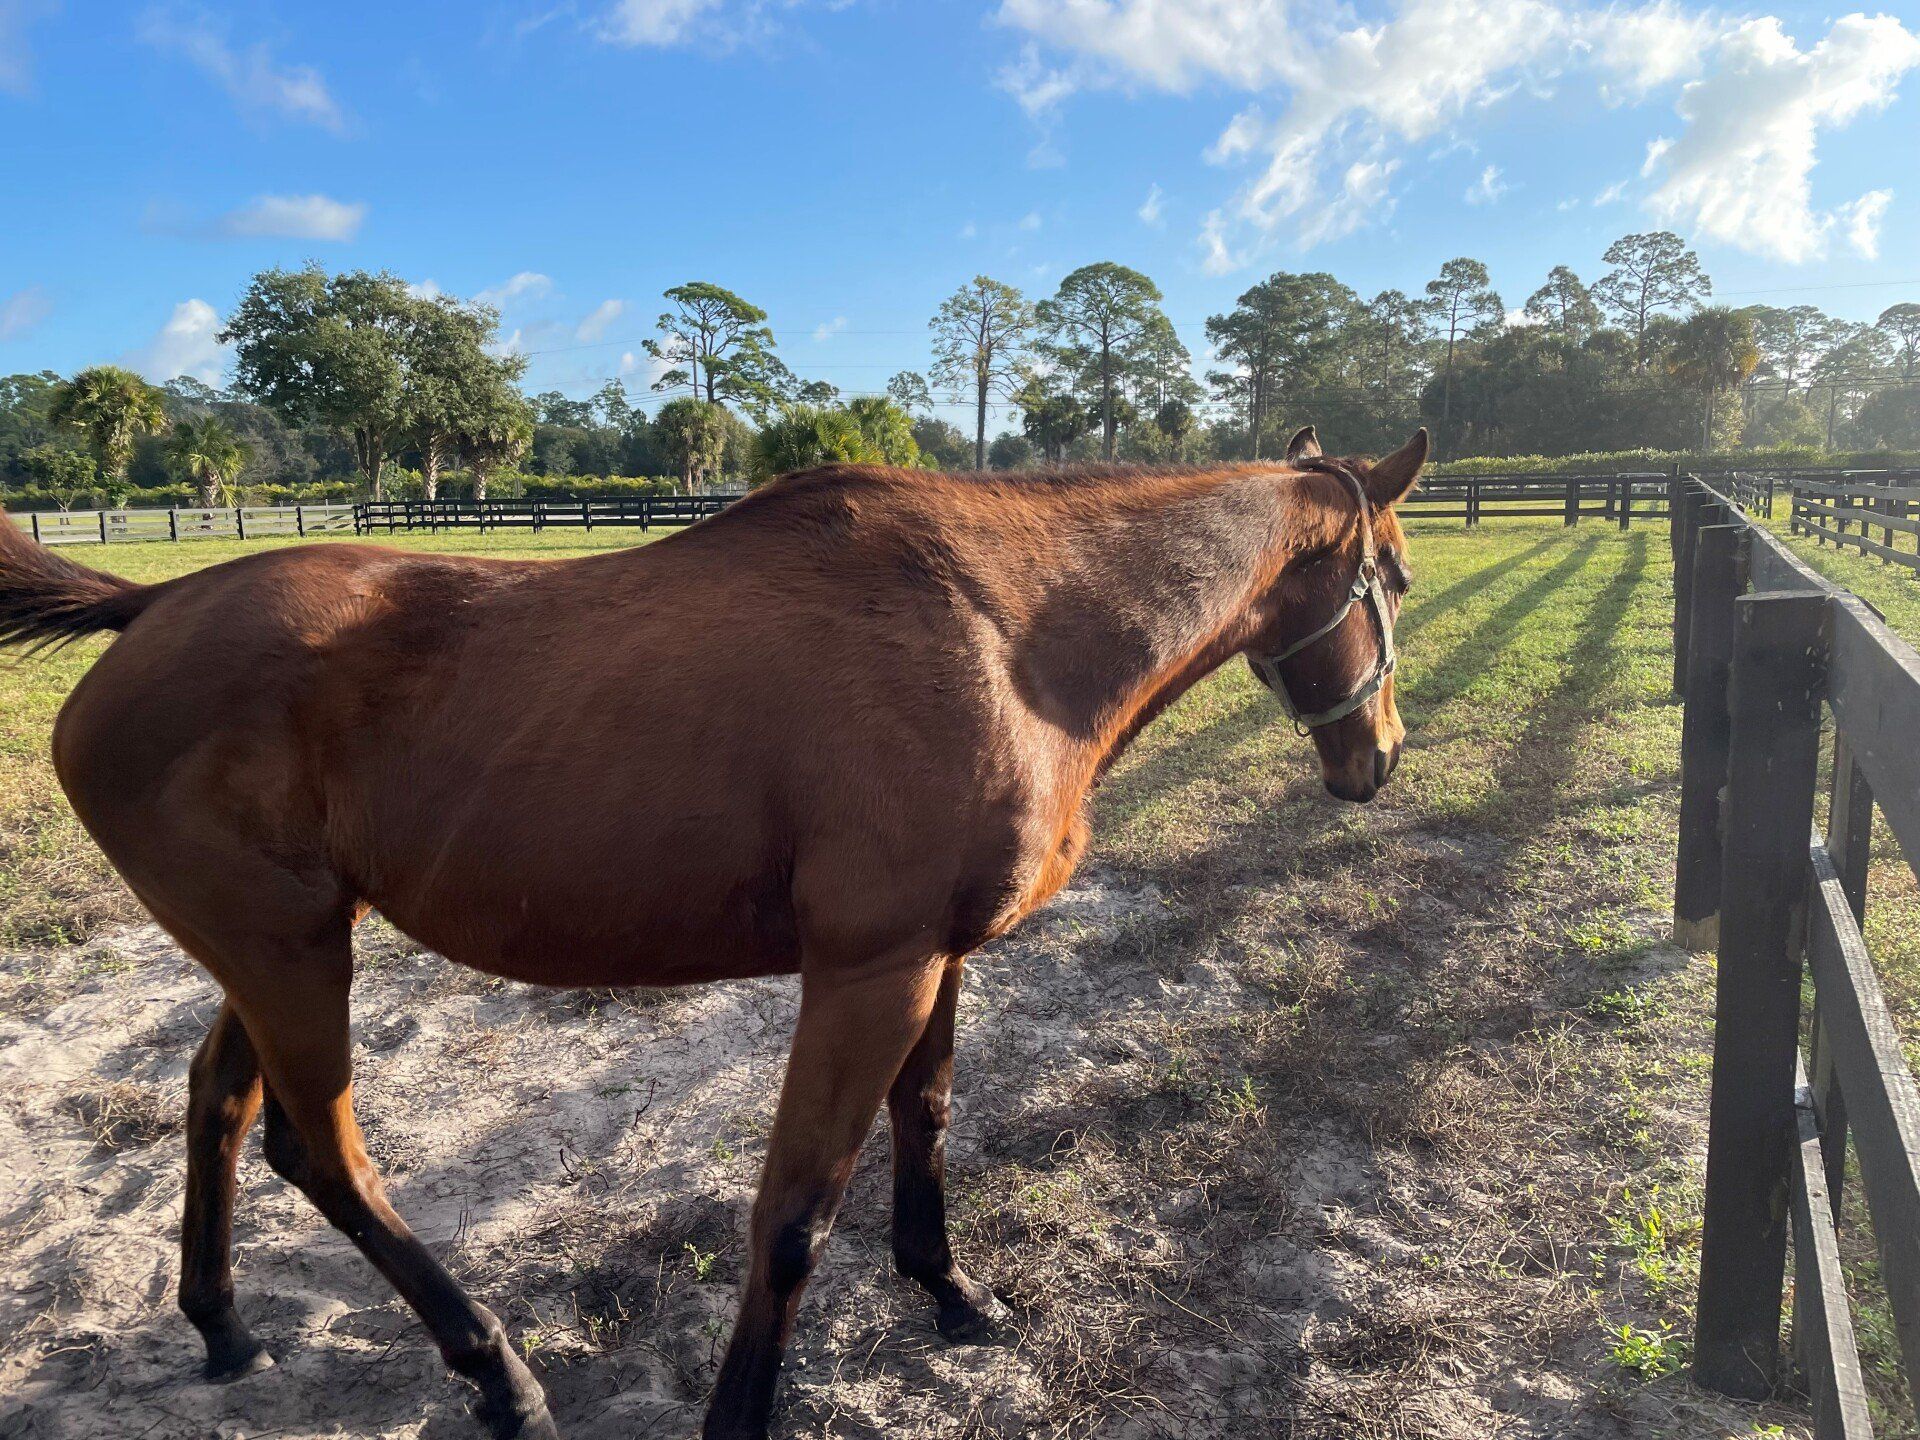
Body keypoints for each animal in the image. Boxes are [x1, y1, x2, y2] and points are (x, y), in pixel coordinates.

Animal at [0, 425, 1423, 1439]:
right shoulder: (869, 974)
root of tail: (155, 606)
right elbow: (793, 1214)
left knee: (221, 1105)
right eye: (1394, 579)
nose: (1383, 757)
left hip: (284, 943)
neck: (1003, 631)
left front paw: (950, 1292)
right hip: (290, 954)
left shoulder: (935, 959)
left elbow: (926, 1123)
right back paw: (498, 1377)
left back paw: (225, 1328)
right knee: (322, 1152)